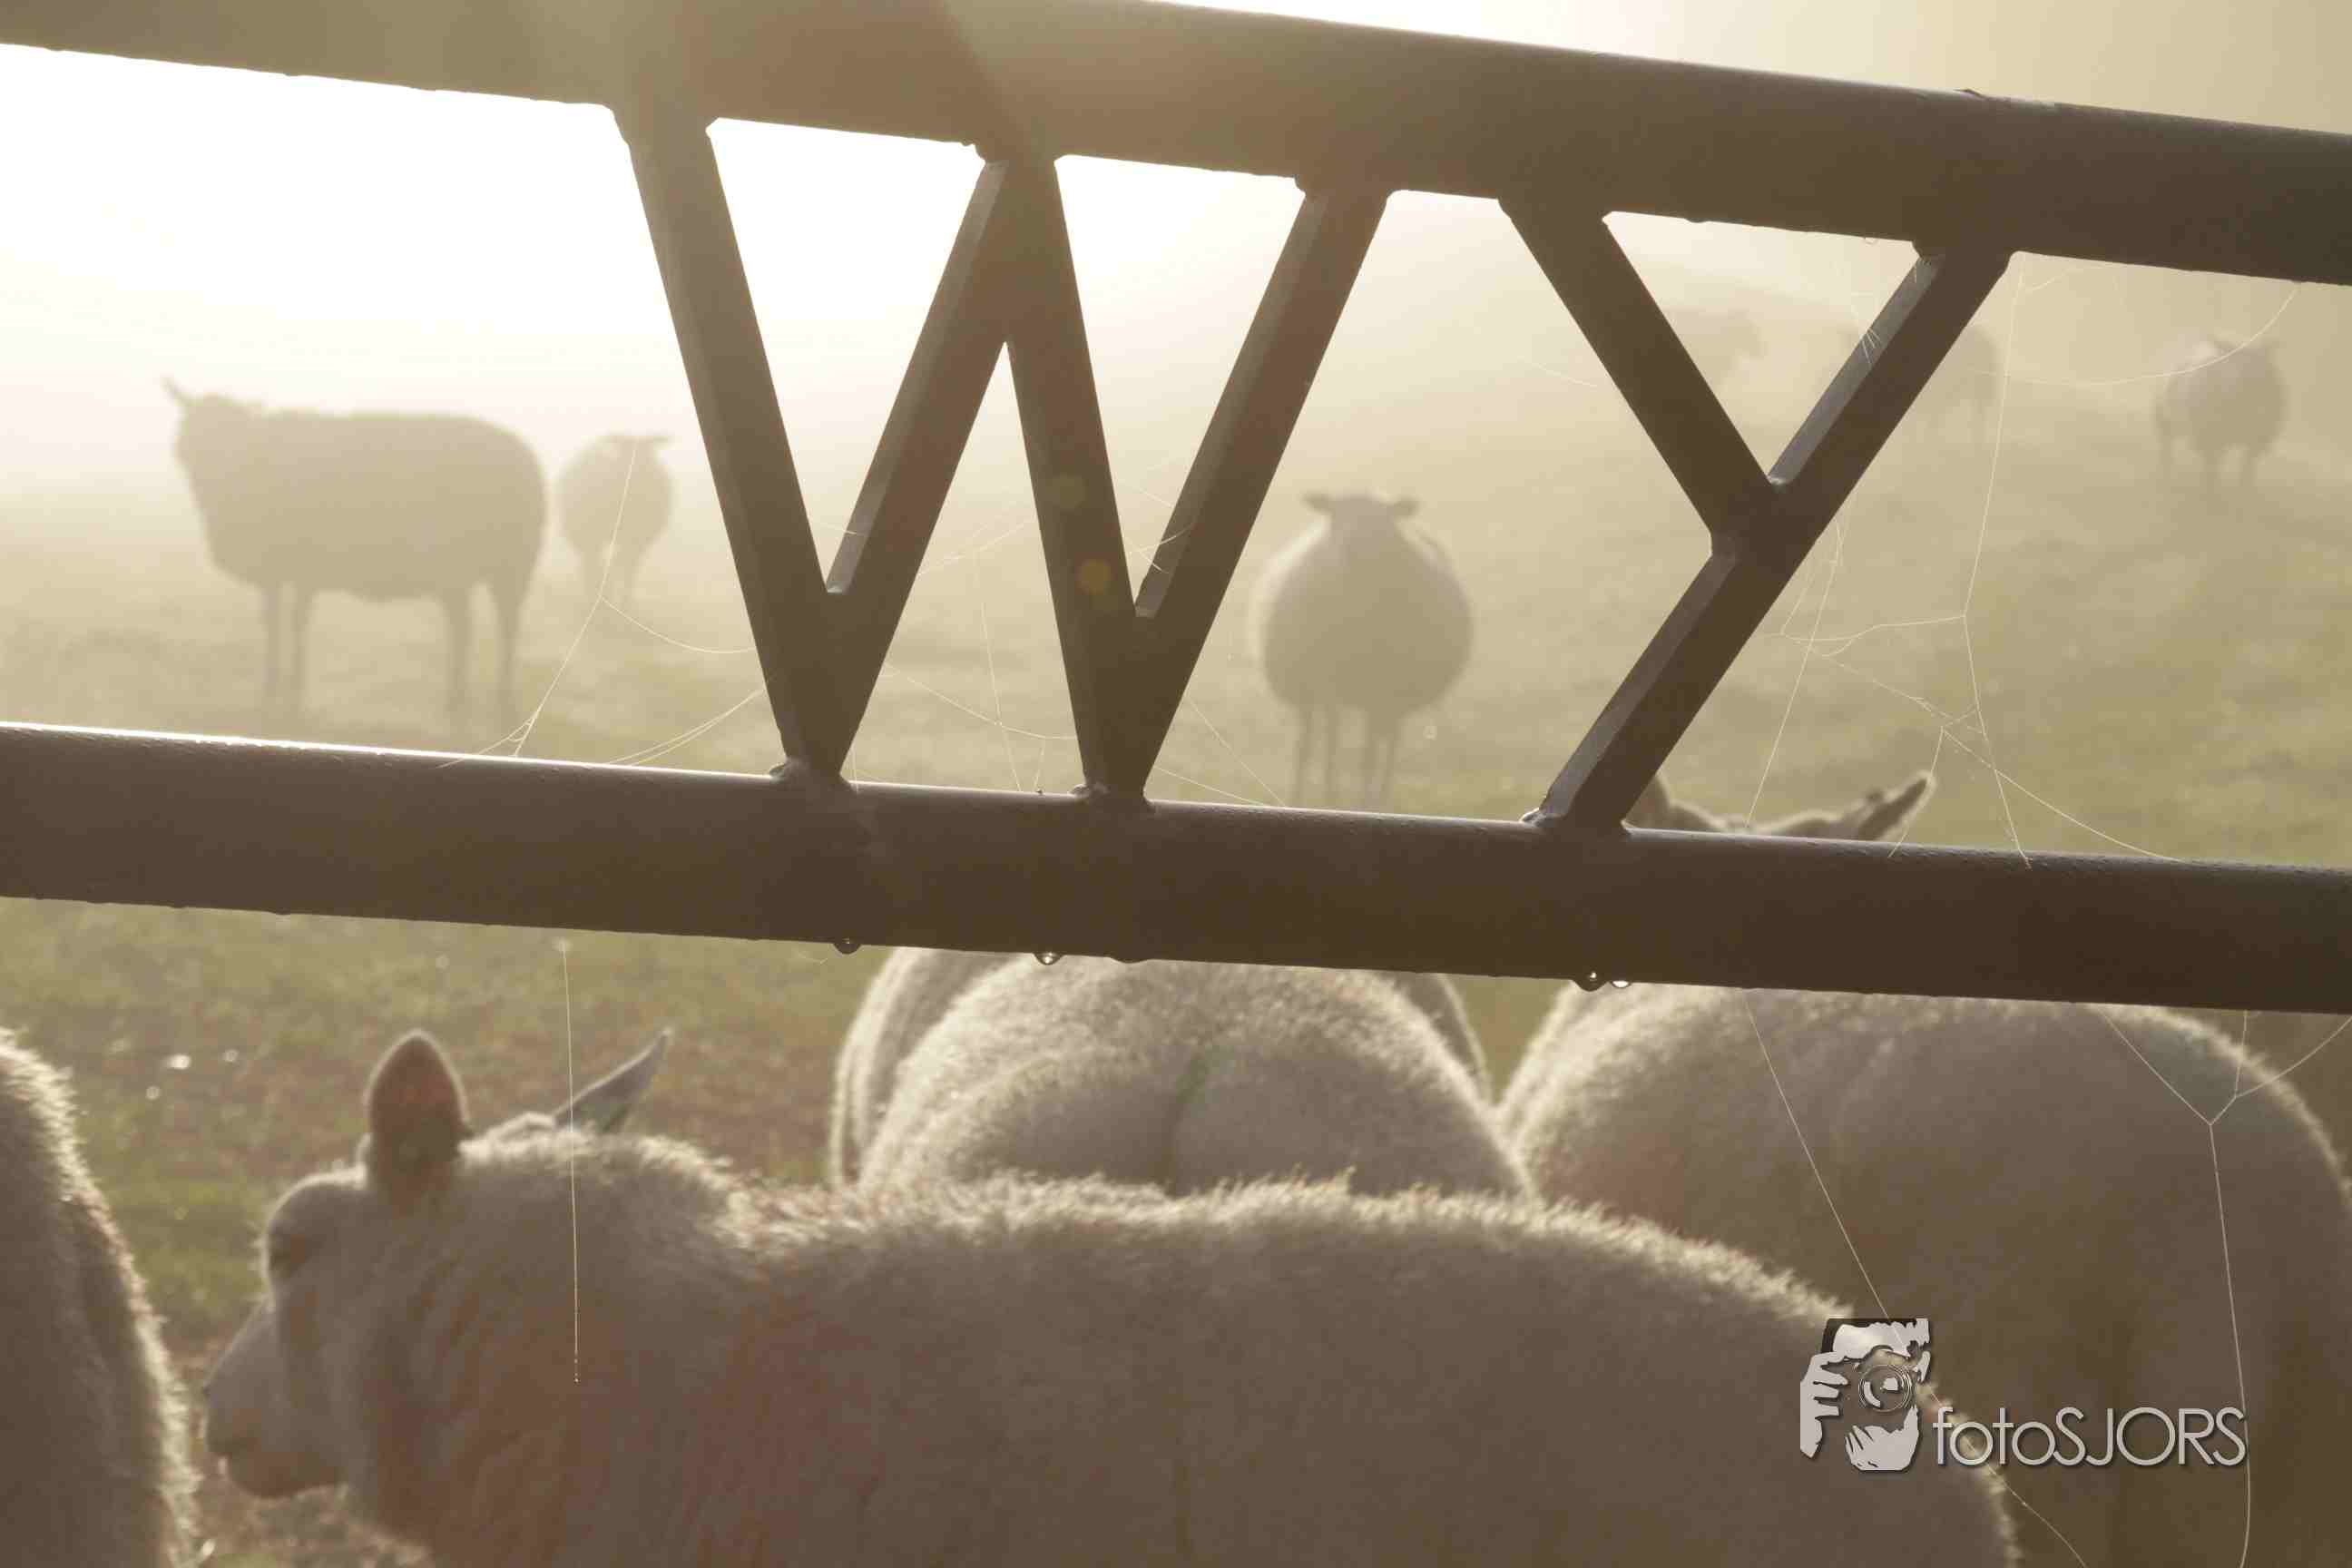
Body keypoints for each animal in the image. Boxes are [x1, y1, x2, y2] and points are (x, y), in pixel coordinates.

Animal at [164, 381, 547, 729]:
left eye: (231, 444)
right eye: (188, 447)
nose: (208, 485)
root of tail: (525, 457)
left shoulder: (294, 566)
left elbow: (289, 623)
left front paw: (285, 691)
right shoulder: (286, 572)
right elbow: (282, 622)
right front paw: (281, 687)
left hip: (508, 565)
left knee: (500, 628)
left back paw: (494, 703)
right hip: (471, 572)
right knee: (469, 627)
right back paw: (465, 701)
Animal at [557, 433, 674, 610]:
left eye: (649, 449)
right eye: (623, 449)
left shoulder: (638, 541)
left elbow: (626, 568)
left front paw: (625, 601)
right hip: (585, 534)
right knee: (592, 565)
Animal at [1250, 490, 1472, 809]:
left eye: (1383, 519)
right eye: (1335, 515)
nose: (1351, 547)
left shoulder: (1377, 692)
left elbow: (1368, 757)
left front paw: (1361, 800)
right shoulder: (1326, 682)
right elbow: (1326, 744)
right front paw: (1324, 796)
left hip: (1394, 696)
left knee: (1388, 745)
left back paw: (1377, 799)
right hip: (1315, 688)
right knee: (1312, 741)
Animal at [2153, 336, 2287, 487]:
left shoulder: (2256, 440)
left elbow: (2246, 470)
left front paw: (2245, 488)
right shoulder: (2209, 440)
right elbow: (2212, 472)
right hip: (2164, 419)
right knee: (2166, 448)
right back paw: (2166, 475)